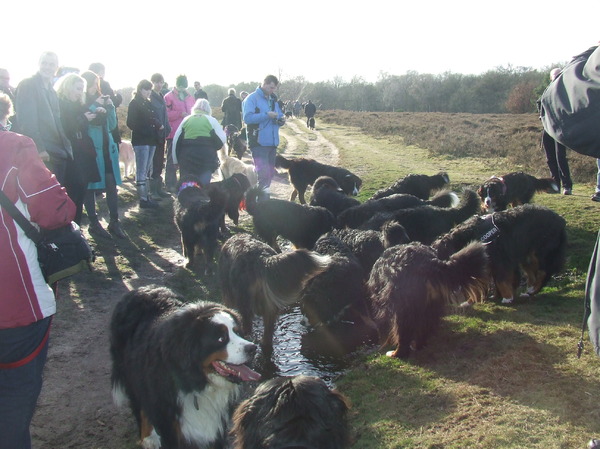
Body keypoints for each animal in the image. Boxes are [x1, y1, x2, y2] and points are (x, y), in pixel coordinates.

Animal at [110, 286, 260, 448]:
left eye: (237, 332)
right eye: (221, 338)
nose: (253, 348)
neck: (196, 384)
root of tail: (140, 289)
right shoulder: (171, 422)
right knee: (140, 405)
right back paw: (149, 437)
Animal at [432, 204, 568, 302]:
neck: (469, 235)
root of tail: (561, 221)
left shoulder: (500, 260)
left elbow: (500, 281)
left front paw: (507, 297)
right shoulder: (487, 263)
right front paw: (494, 296)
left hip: (540, 252)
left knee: (543, 272)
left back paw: (532, 289)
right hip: (526, 255)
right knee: (533, 274)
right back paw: (529, 291)